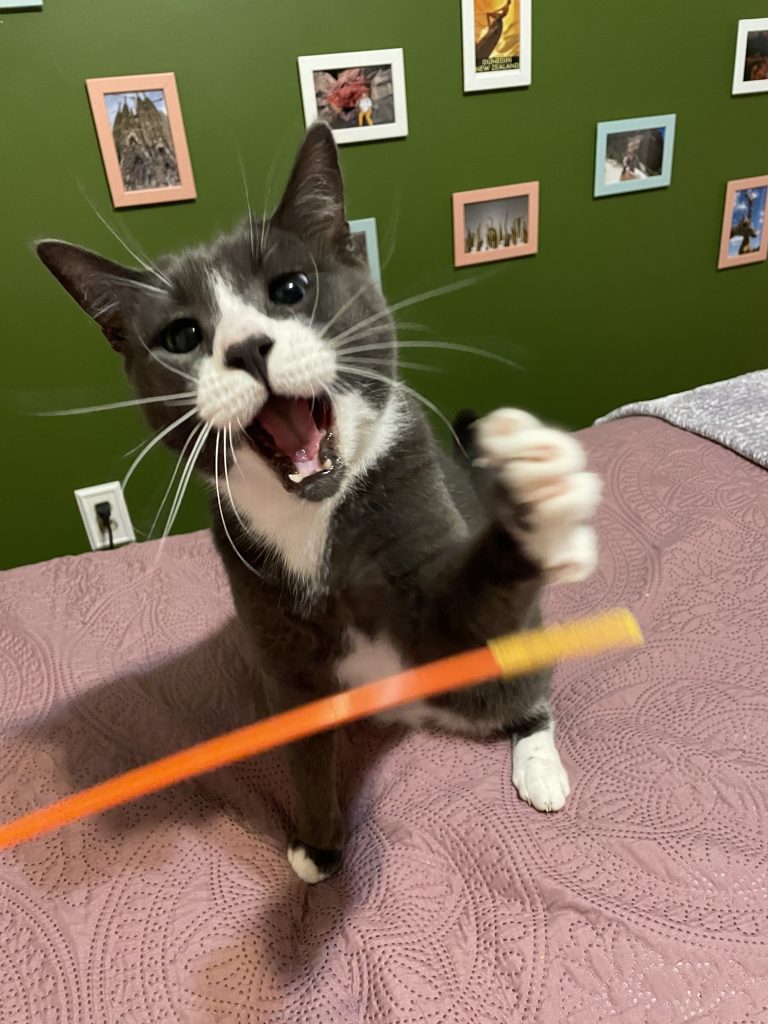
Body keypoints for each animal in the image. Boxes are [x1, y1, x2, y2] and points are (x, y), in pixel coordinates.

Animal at [36, 123, 602, 884]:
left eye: (291, 288)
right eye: (183, 336)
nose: (248, 347)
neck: (311, 518)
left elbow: (467, 608)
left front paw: (536, 494)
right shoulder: (273, 633)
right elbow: (304, 752)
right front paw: (317, 846)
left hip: (504, 666)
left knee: (525, 686)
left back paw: (539, 767)